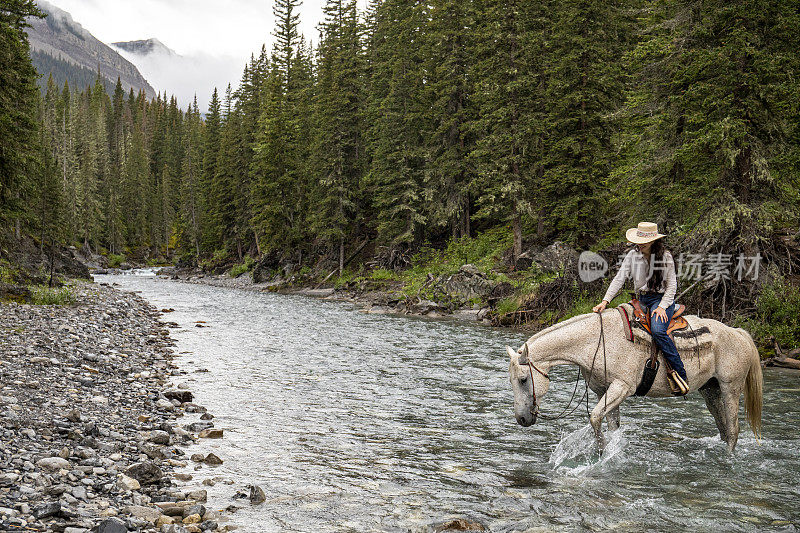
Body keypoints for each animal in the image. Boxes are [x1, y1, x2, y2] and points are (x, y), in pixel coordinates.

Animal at [506, 308, 764, 454]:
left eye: (523, 379)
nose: (522, 419)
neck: (597, 342)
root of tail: (738, 333)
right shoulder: (604, 390)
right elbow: (611, 425)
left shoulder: (622, 387)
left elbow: (595, 417)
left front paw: (601, 451)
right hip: (710, 390)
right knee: (723, 428)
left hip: (731, 388)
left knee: (733, 430)